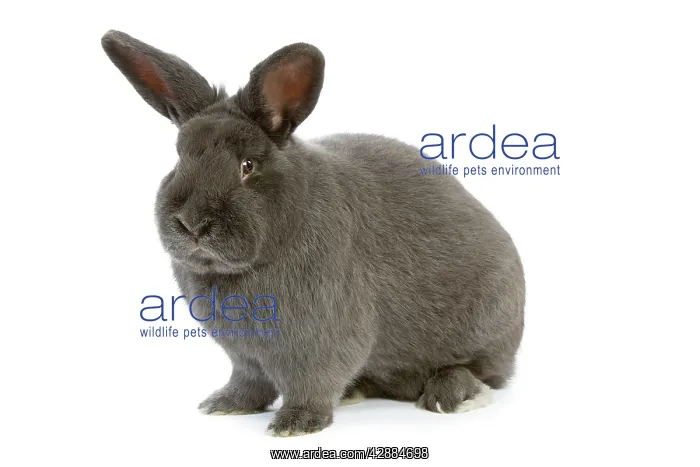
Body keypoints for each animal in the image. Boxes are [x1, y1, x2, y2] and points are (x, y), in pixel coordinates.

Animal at [101, 30, 525, 437]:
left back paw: (451, 395)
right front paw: (223, 405)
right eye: (179, 158)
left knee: (479, 372)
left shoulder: (324, 343)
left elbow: (312, 384)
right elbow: (249, 383)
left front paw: (295, 425)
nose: (192, 223)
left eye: (247, 165)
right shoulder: (244, 356)